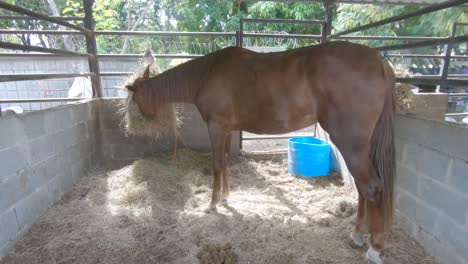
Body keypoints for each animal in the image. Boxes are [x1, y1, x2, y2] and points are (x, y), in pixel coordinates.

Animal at [123, 40, 394, 262]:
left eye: (133, 100)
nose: (137, 124)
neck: (207, 74)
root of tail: (379, 60)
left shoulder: (216, 128)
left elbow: (216, 166)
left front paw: (212, 205)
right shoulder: (227, 130)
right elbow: (225, 163)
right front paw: (225, 197)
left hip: (350, 144)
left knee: (371, 188)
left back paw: (375, 248)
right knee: (362, 188)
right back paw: (357, 235)